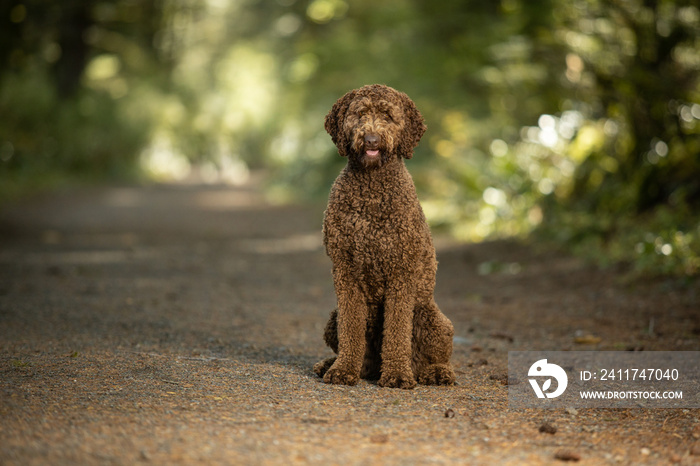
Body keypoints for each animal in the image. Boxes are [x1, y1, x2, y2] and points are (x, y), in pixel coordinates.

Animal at [314, 84, 456, 390]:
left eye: (389, 116)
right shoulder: (345, 271)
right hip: (333, 318)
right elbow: (351, 329)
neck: (372, 187)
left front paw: (398, 375)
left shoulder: (401, 273)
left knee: (433, 355)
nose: (371, 138)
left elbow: (397, 330)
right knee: (362, 356)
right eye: (359, 114)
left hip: (430, 317)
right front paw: (343, 370)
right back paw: (334, 364)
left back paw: (435, 372)